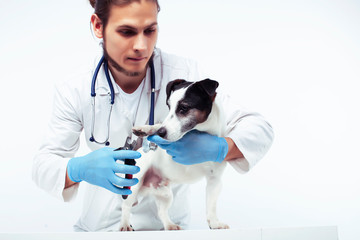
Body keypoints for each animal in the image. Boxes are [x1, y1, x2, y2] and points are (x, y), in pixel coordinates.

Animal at [119, 78, 229, 231]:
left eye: (184, 108)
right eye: (168, 106)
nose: (161, 134)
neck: (200, 133)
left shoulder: (215, 180)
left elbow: (211, 206)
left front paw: (214, 223)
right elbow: (158, 125)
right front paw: (146, 129)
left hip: (165, 194)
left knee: (161, 211)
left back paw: (169, 225)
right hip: (133, 184)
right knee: (125, 206)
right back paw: (124, 224)